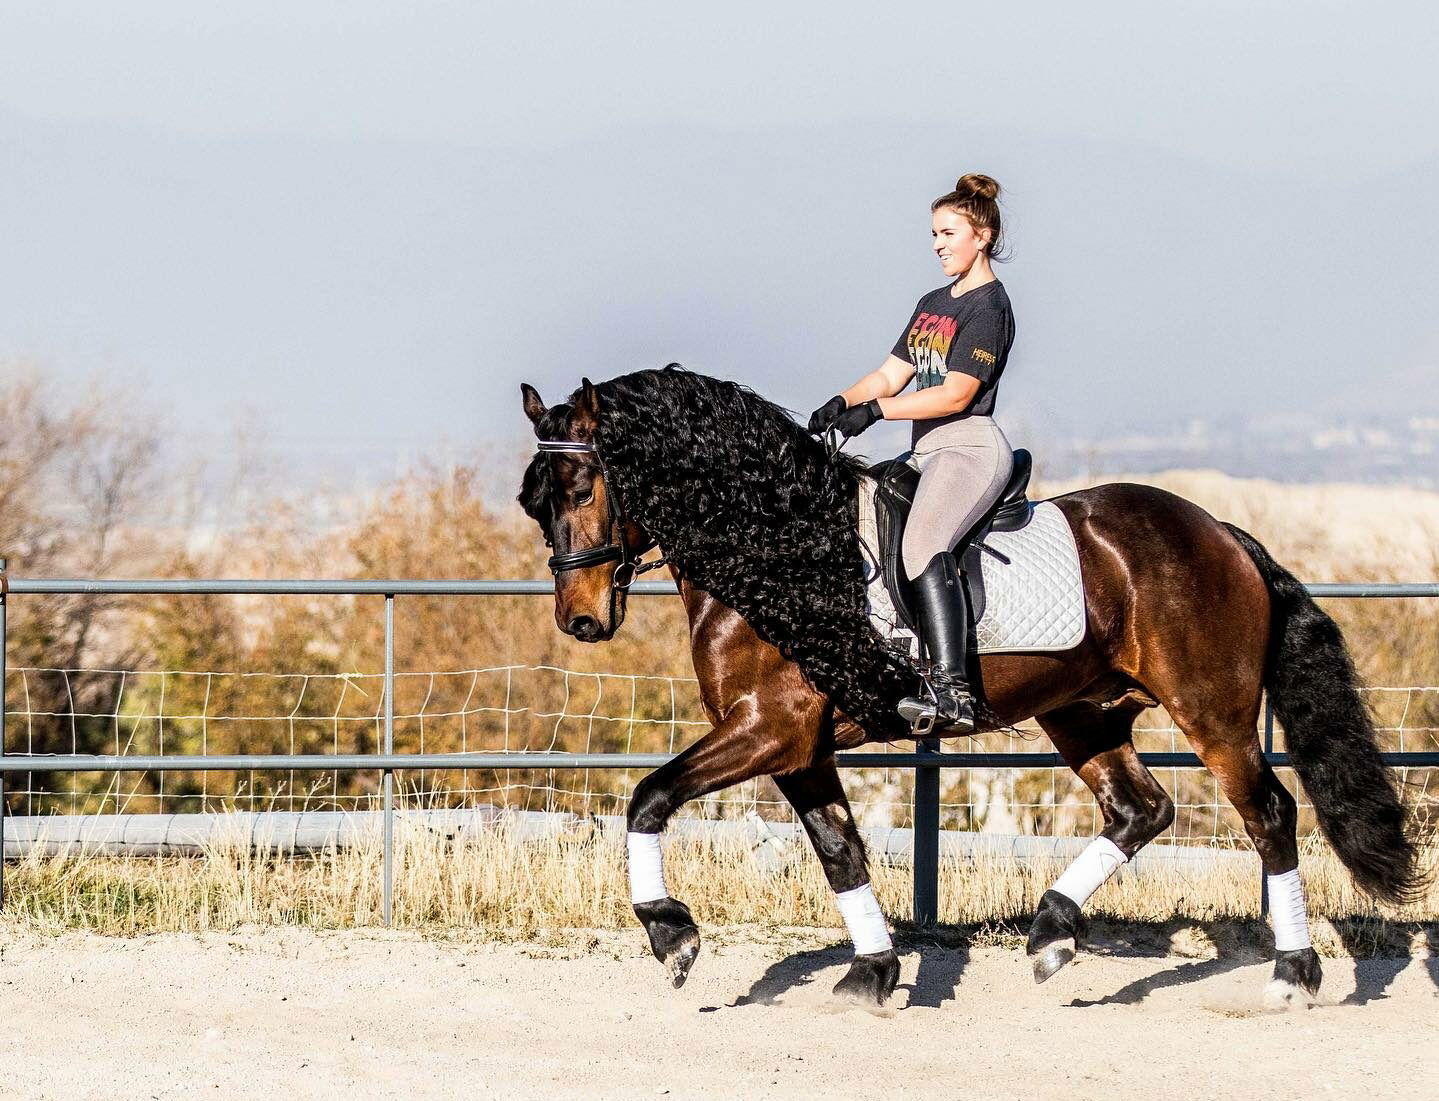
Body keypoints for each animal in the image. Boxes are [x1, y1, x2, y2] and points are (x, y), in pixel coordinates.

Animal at [517, 365, 1423, 1009]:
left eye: (583, 488)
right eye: (536, 503)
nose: (580, 620)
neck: (780, 550)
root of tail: (1221, 533)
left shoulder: (769, 727)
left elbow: (649, 796)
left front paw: (670, 935)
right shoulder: (798, 746)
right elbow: (840, 850)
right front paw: (871, 974)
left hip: (1212, 711)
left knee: (1265, 813)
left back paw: (1290, 973)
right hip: (1083, 712)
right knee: (1140, 809)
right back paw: (1051, 933)